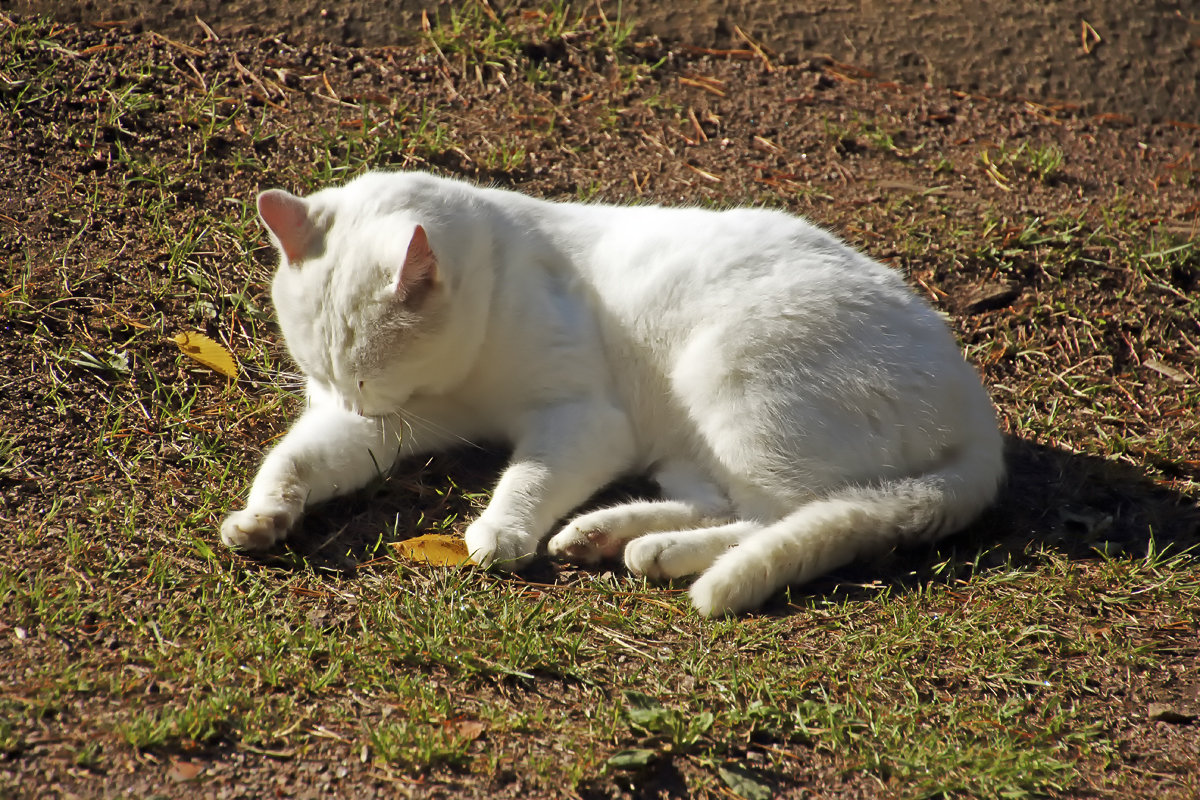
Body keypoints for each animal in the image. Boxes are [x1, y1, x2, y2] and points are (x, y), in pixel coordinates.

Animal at [223, 172, 1003, 618]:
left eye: (360, 376)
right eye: (321, 375)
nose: (349, 404)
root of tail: (979, 409)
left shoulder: (584, 420)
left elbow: (529, 476)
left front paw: (501, 530)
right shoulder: (386, 427)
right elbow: (294, 461)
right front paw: (262, 517)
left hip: (729, 374)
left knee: (781, 516)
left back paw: (655, 550)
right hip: (690, 439)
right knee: (724, 504)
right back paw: (609, 536)